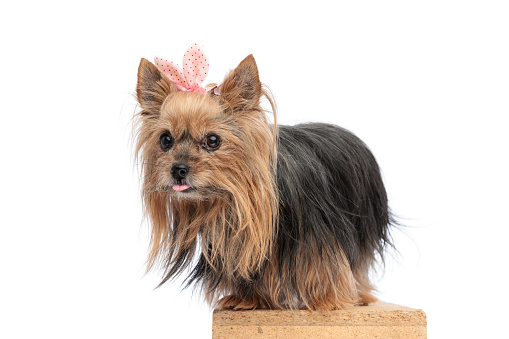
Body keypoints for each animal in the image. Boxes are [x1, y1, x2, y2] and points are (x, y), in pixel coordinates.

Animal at [133, 45, 390, 310]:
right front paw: (248, 298)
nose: (178, 169)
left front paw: (327, 300)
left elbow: (325, 264)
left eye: (213, 140)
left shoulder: (317, 233)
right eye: (165, 140)